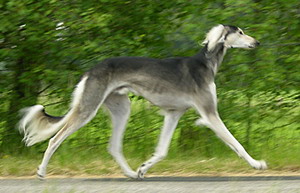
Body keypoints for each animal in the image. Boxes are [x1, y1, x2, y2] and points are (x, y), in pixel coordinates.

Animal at [18, 24, 268, 179]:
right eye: (241, 32)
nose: (257, 42)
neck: (205, 63)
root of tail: (90, 70)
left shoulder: (173, 113)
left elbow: (162, 150)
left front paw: (143, 168)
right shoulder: (209, 112)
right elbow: (236, 143)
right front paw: (257, 164)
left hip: (122, 108)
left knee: (114, 146)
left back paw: (130, 173)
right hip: (88, 107)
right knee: (55, 139)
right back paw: (41, 171)